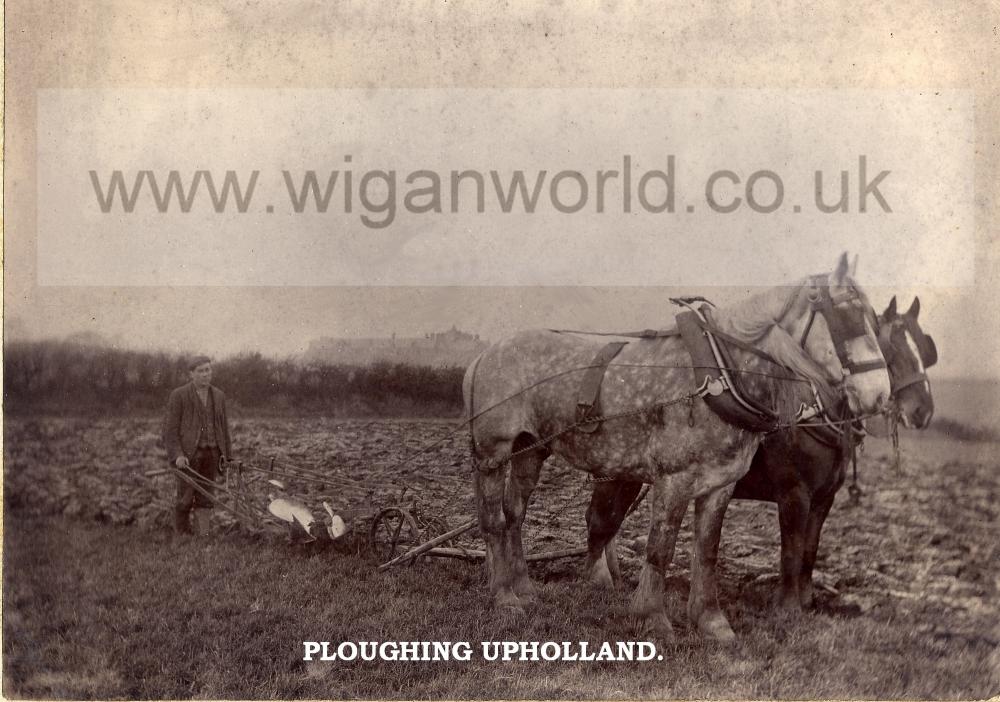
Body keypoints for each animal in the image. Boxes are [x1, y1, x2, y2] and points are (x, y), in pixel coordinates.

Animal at [588, 296, 932, 620]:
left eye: (925, 348)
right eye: (892, 348)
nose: (923, 411)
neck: (811, 415)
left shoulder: (824, 498)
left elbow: (810, 549)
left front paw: (808, 601)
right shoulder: (794, 494)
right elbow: (791, 550)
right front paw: (788, 607)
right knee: (601, 518)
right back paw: (604, 578)